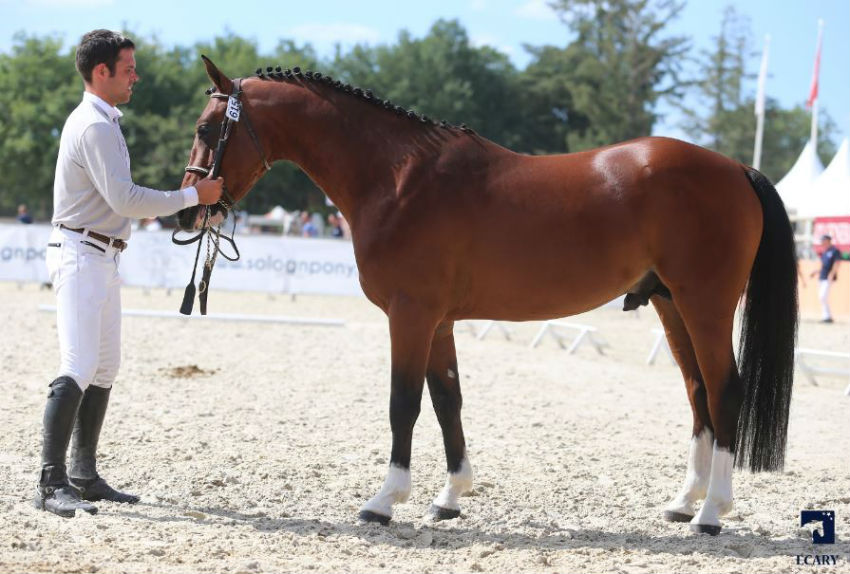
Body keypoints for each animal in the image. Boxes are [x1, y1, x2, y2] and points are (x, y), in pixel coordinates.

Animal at [177, 56, 796, 536]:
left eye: (208, 129)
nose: (187, 210)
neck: (399, 179)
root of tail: (735, 168)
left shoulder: (410, 315)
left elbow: (404, 402)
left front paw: (384, 500)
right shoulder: (440, 321)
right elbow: (447, 400)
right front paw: (450, 498)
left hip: (705, 305)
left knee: (724, 391)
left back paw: (712, 513)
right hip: (672, 305)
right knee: (698, 394)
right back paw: (683, 503)